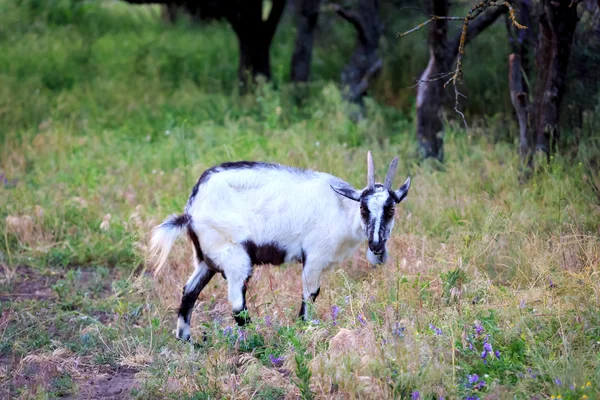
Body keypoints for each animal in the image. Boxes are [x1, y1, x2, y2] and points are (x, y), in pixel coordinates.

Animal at [152, 152, 410, 340]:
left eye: (391, 209)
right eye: (364, 208)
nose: (376, 245)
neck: (341, 208)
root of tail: (190, 211)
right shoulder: (314, 257)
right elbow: (310, 294)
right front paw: (306, 327)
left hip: (206, 259)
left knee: (189, 291)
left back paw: (186, 340)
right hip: (234, 256)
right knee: (237, 304)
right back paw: (256, 339)